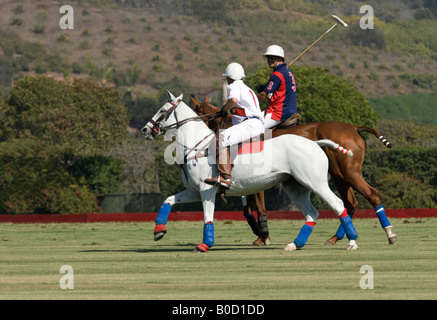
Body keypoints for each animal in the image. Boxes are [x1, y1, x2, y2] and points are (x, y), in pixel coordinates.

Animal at [141, 92, 358, 252]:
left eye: (163, 110)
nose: (144, 130)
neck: (197, 145)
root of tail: (315, 143)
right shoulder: (194, 191)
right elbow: (168, 200)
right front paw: (158, 231)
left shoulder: (206, 189)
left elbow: (208, 217)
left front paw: (204, 244)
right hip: (295, 186)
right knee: (312, 213)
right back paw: (294, 244)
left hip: (316, 182)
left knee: (339, 205)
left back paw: (351, 242)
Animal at [189, 95, 396, 245]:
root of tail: (353, 127)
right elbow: (247, 208)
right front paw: (259, 232)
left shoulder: (256, 181)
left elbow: (258, 207)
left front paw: (262, 235)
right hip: (340, 176)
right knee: (350, 202)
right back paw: (335, 238)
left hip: (349, 173)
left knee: (371, 195)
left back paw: (389, 234)